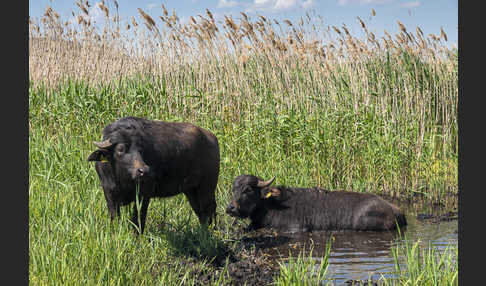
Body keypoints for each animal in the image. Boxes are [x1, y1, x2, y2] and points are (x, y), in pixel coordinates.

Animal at [88, 117, 220, 233]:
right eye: (121, 149)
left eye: (140, 150)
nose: (144, 171)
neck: (121, 178)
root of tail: (212, 138)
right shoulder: (109, 193)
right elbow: (115, 218)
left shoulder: (144, 194)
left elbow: (138, 219)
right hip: (191, 191)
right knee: (202, 214)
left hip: (206, 188)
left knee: (209, 211)